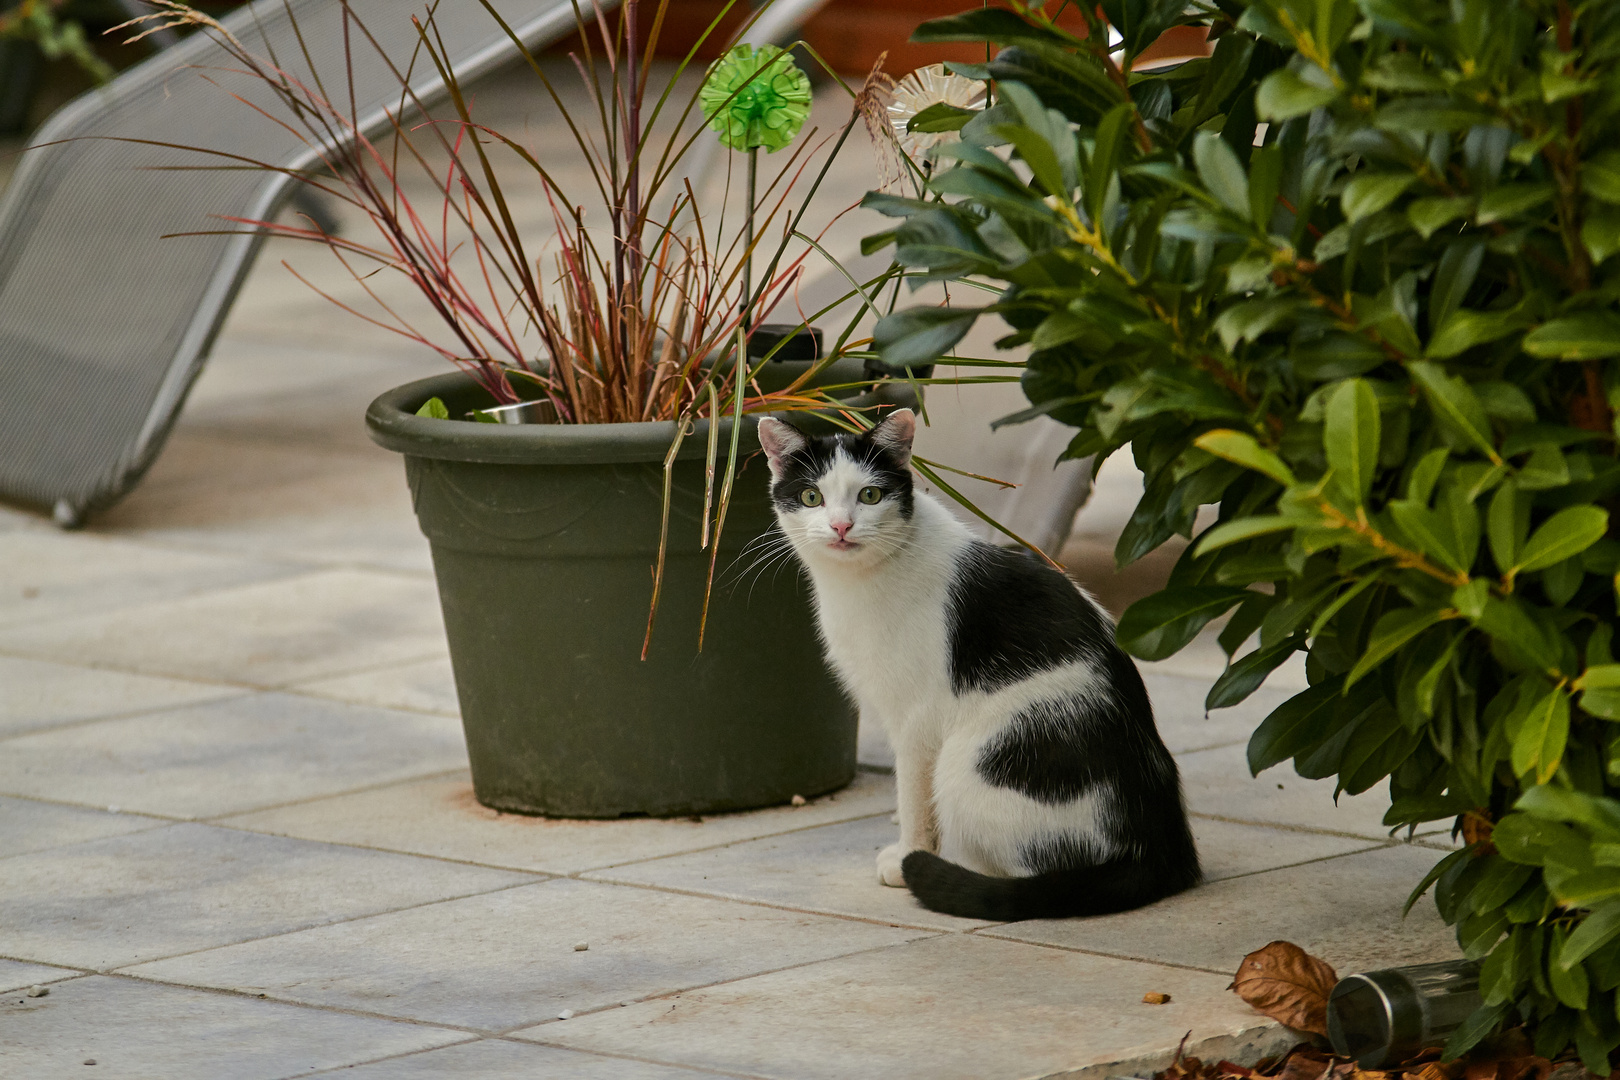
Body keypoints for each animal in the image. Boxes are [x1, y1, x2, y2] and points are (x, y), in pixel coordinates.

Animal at [751, 408, 1198, 919]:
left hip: (970, 761)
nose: (842, 526)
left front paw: (906, 855)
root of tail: (1161, 844)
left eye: (870, 495)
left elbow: (913, 796)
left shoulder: (917, 719)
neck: (857, 582)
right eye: (812, 496)